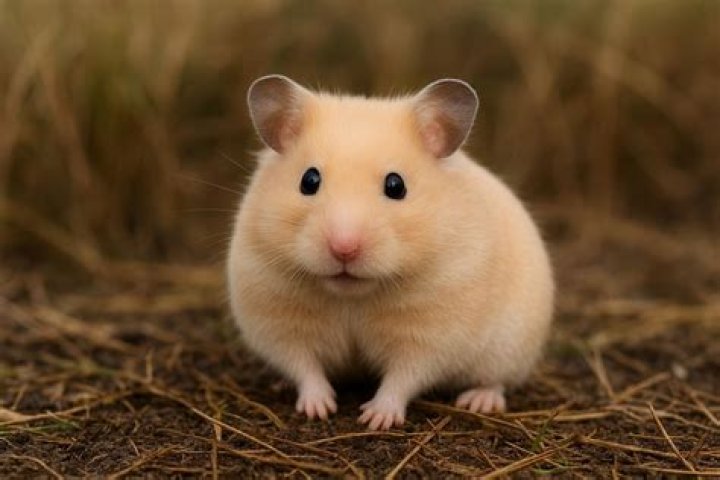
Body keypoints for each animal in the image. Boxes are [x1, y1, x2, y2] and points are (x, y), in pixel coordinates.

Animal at [227, 75, 554, 431]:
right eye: (309, 180)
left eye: (396, 186)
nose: (344, 248)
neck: (351, 296)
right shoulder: (280, 323)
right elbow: (305, 367)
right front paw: (319, 409)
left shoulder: (430, 335)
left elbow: (403, 377)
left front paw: (376, 419)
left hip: (509, 348)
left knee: (496, 381)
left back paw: (478, 401)